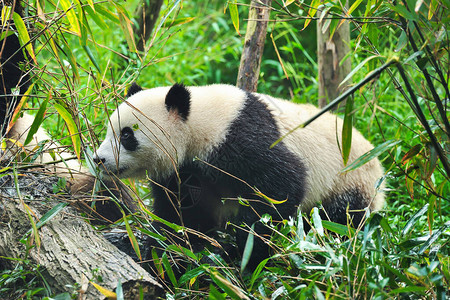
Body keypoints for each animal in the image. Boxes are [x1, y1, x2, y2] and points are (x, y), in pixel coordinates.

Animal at [93, 82, 384, 268]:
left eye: (127, 135)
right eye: (109, 130)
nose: (99, 159)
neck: (199, 121)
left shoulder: (240, 138)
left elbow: (282, 186)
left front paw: (248, 252)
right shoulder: (186, 172)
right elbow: (181, 212)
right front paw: (169, 249)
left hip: (349, 181)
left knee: (340, 219)